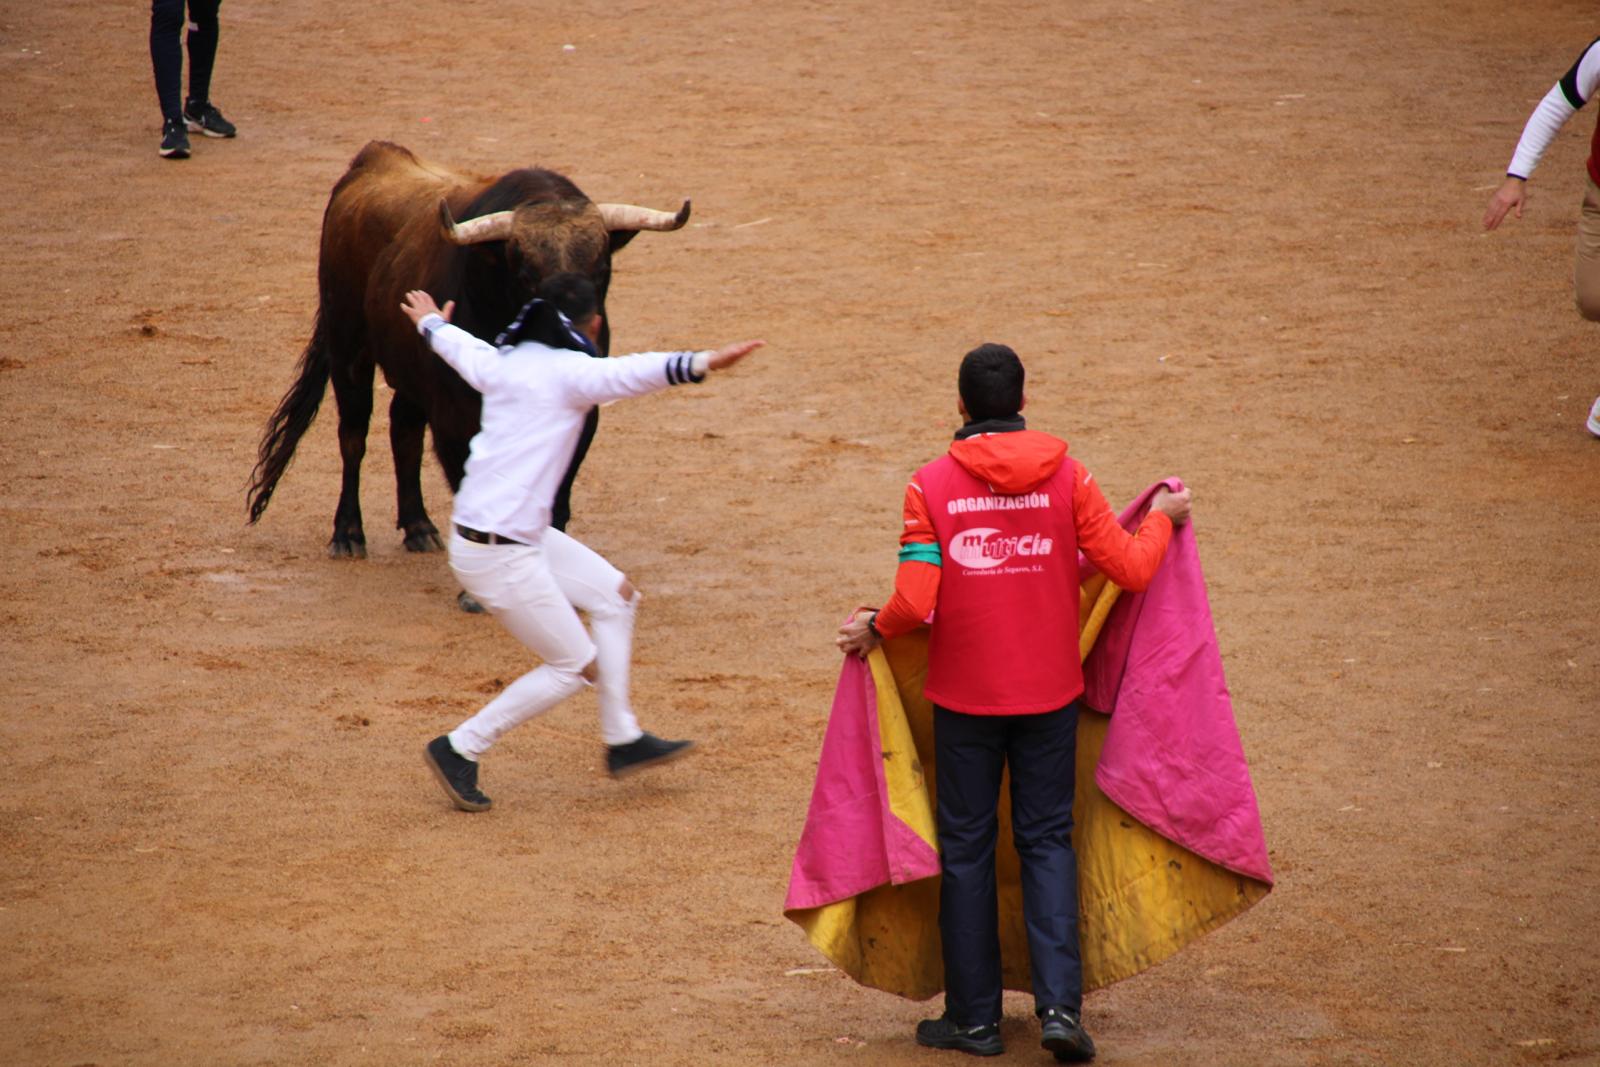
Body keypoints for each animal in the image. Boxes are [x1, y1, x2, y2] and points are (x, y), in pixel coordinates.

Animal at [246, 139, 684, 559]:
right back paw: (348, 534)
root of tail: (370, 159)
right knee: (354, 436)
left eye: (601, 268)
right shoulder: (454, 417)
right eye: (525, 273)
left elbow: (553, 500)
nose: (577, 333)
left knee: (404, 427)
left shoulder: (580, 416)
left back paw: (418, 527)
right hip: (347, 346)